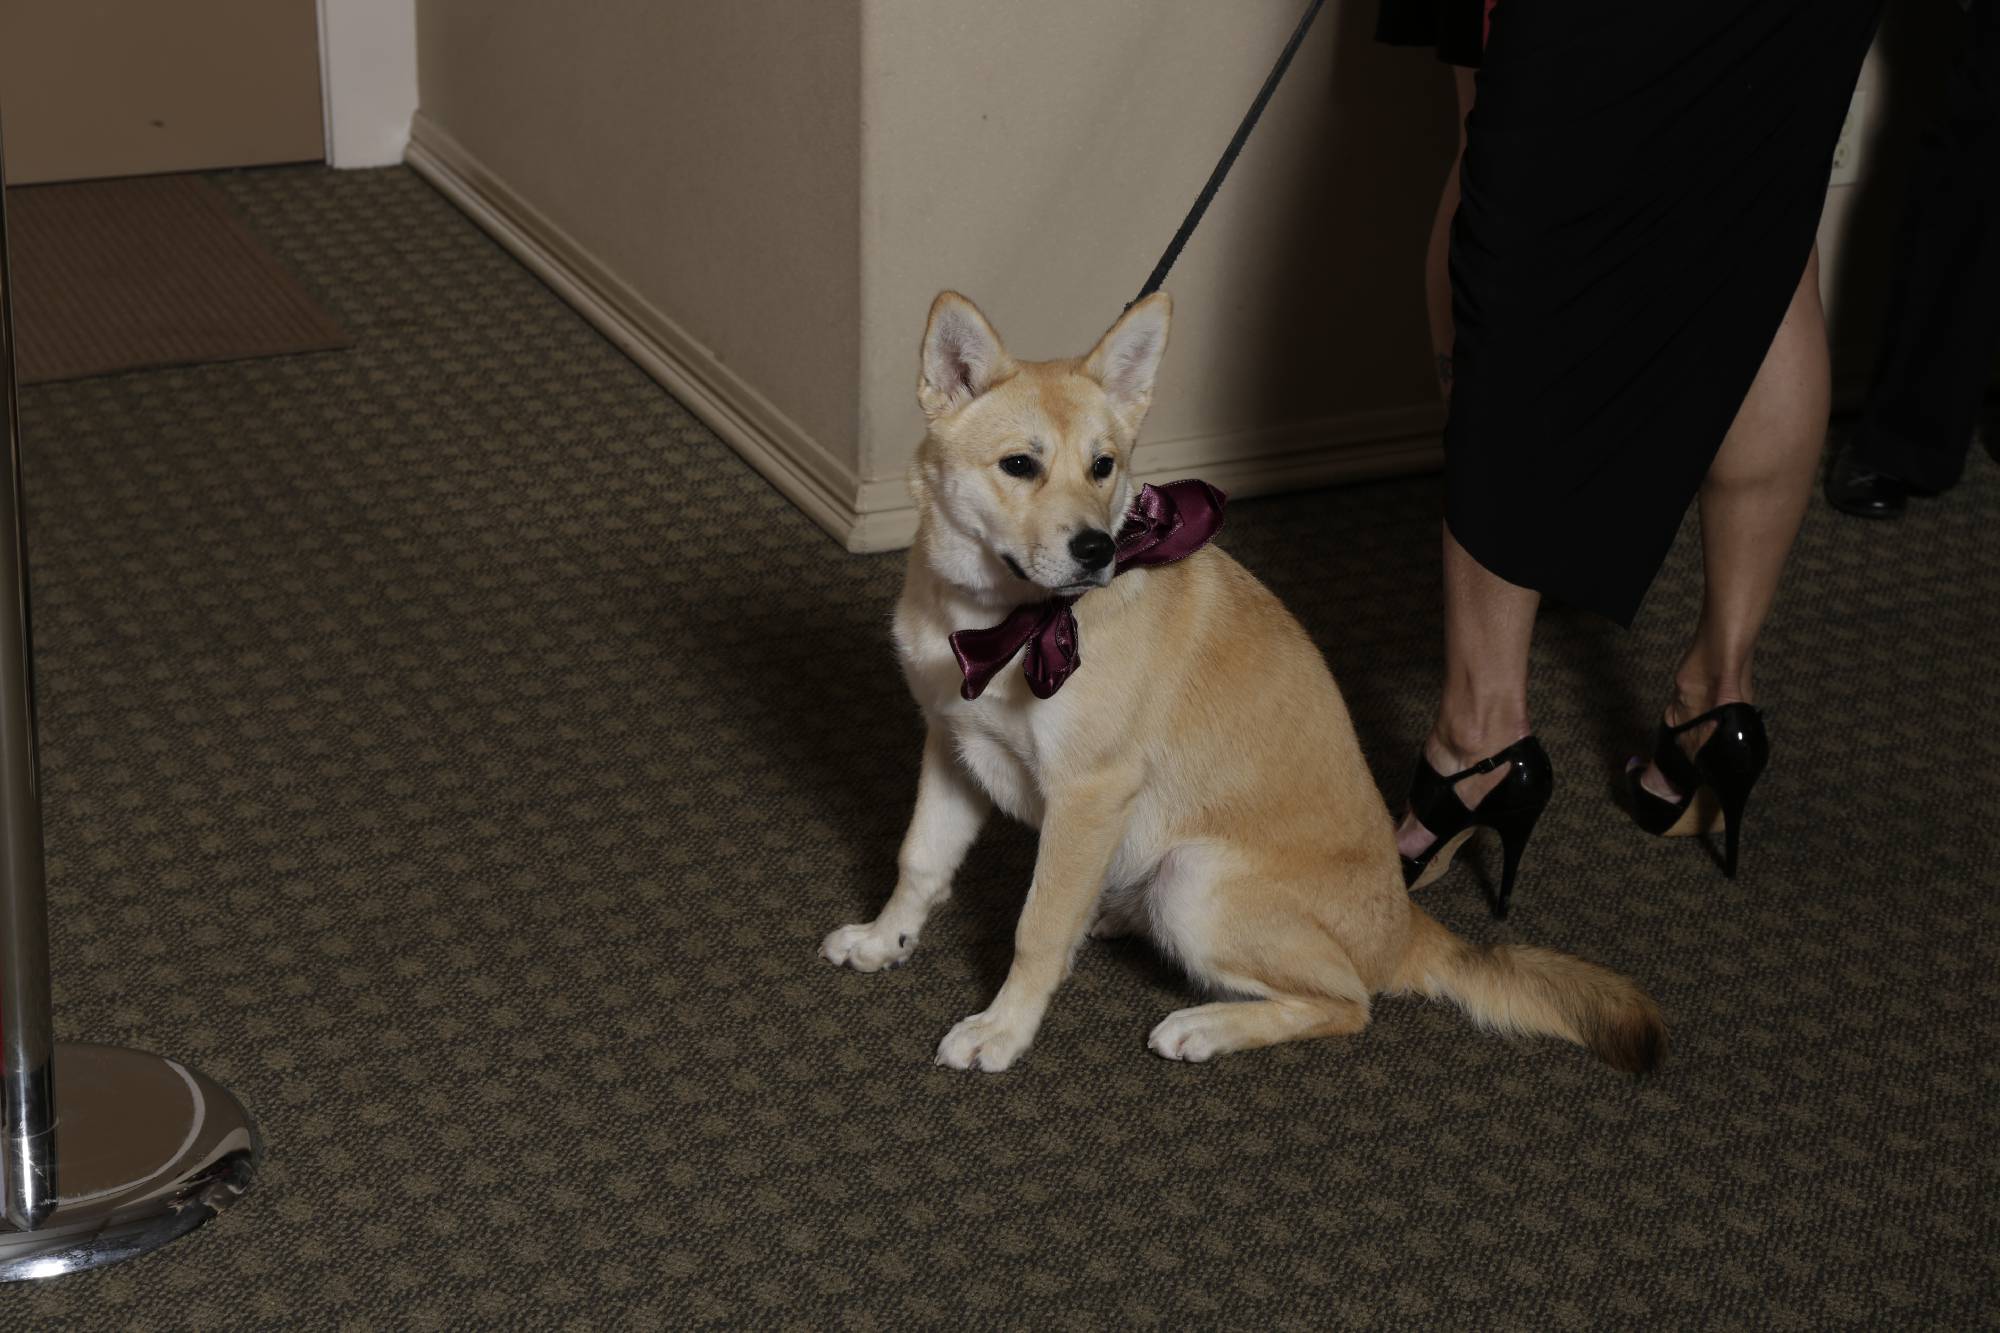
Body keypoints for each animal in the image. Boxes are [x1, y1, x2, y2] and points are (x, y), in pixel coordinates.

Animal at [820, 290, 1666, 1075]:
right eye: (1019, 465)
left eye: (1104, 466)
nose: (1096, 550)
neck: (1004, 623)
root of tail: (1403, 926)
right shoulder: (953, 746)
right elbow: (920, 859)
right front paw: (885, 937)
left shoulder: (1087, 793)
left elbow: (1037, 925)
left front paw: (1004, 1027)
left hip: (1196, 879)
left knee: (1347, 1002)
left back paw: (1206, 1024)